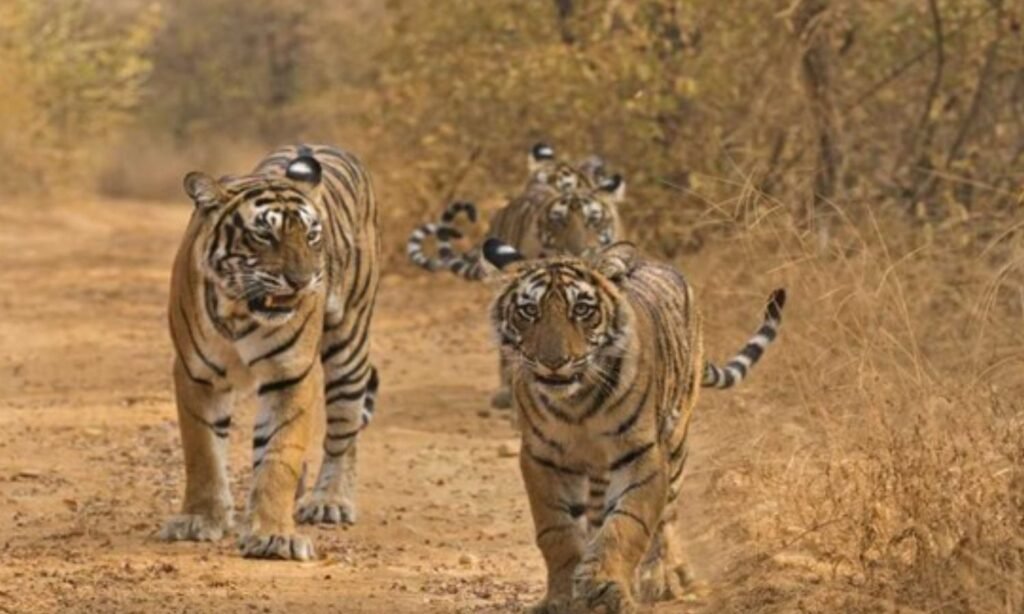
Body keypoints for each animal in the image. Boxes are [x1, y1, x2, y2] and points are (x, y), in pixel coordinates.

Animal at [159, 144, 380, 561]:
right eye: (264, 234)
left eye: (312, 235)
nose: (302, 281)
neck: (239, 311)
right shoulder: (197, 373)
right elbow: (203, 453)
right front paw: (200, 519)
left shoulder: (290, 374)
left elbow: (280, 455)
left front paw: (274, 536)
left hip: (349, 346)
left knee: (344, 431)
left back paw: (330, 500)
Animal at [481, 238, 785, 613]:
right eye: (528, 311)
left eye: (582, 310)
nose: (554, 362)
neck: (577, 403)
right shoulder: (542, 458)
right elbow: (555, 530)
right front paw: (563, 594)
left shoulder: (642, 453)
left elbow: (628, 524)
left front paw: (606, 585)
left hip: (677, 441)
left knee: (666, 518)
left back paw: (665, 579)